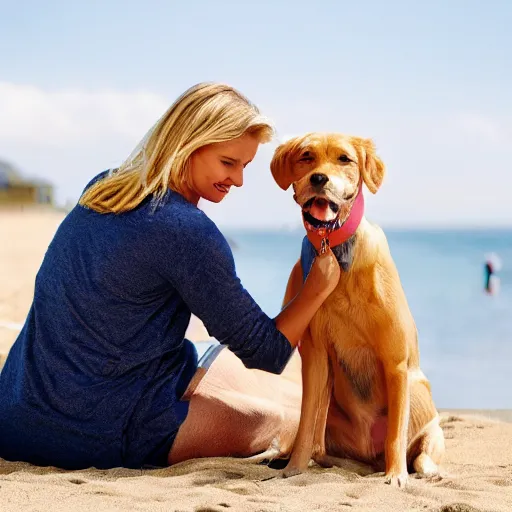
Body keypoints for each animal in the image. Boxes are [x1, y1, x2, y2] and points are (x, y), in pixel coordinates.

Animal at [272, 132, 444, 488]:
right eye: (306, 157)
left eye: (345, 159)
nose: (319, 179)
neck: (334, 252)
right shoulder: (314, 357)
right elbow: (306, 424)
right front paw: (293, 469)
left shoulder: (396, 362)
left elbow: (395, 433)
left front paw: (396, 475)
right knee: (319, 445)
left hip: (420, 392)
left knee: (421, 450)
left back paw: (424, 469)